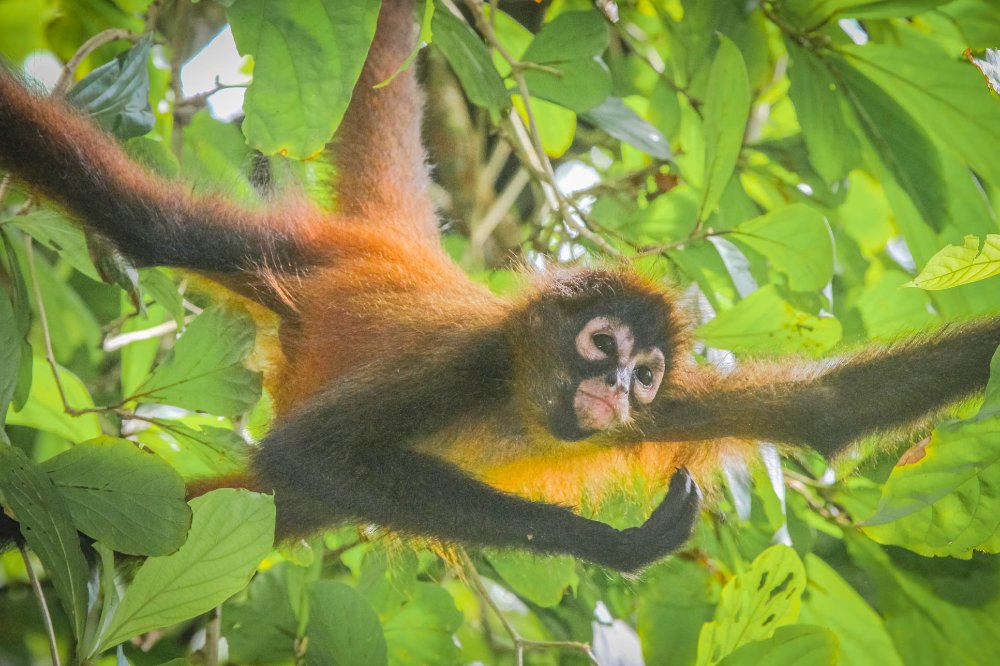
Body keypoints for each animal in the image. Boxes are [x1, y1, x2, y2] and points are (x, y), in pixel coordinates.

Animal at [0, 0, 996, 572]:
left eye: (644, 375)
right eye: (603, 344)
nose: (613, 386)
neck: (521, 404)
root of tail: (402, 251)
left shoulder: (672, 412)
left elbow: (829, 410)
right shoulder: (468, 362)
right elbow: (309, 449)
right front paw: (612, 545)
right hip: (296, 256)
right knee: (149, 225)